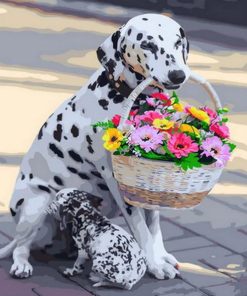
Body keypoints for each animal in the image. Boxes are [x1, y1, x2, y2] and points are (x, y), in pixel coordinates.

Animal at [0, 12, 191, 278]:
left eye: (177, 42)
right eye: (148, 45)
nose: (177, 75)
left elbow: (153, 225)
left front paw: (160, 257)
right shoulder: (119, 182)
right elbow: (141, 227)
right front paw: (154, 265)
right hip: (36, 205)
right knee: (20, 245)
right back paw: (21, 264)